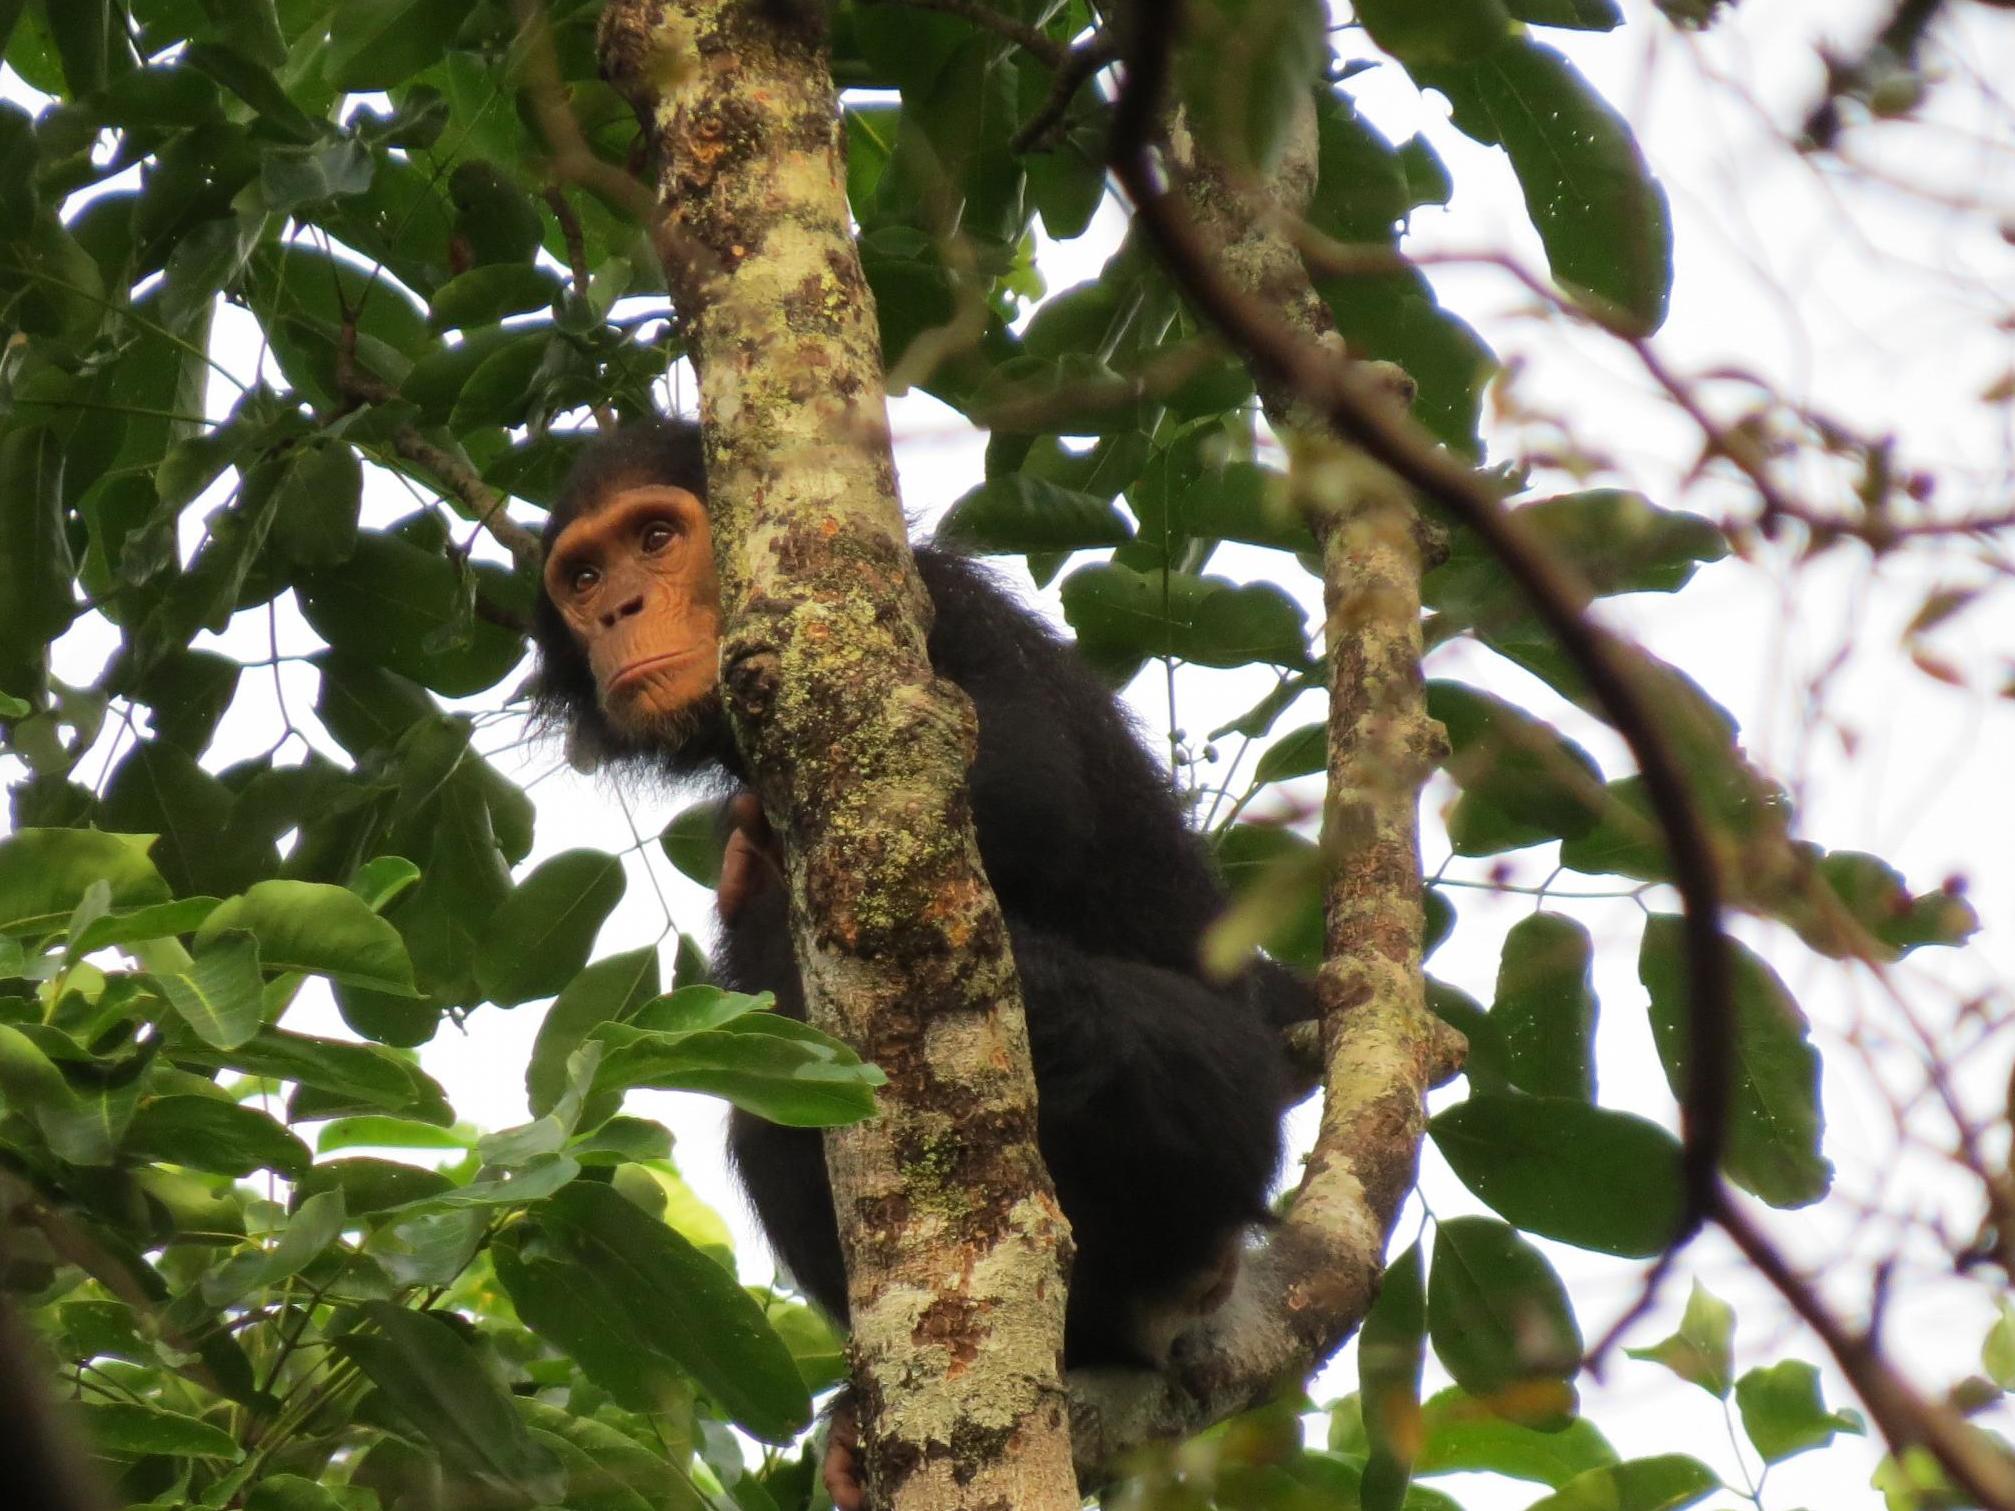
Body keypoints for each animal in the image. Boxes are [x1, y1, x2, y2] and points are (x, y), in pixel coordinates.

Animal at [531, 410, 1321, 1458]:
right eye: (582, 576)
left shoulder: (937, 615)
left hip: (1225, 1150)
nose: (619, 606)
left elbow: (1005, 776)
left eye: (656, 537)